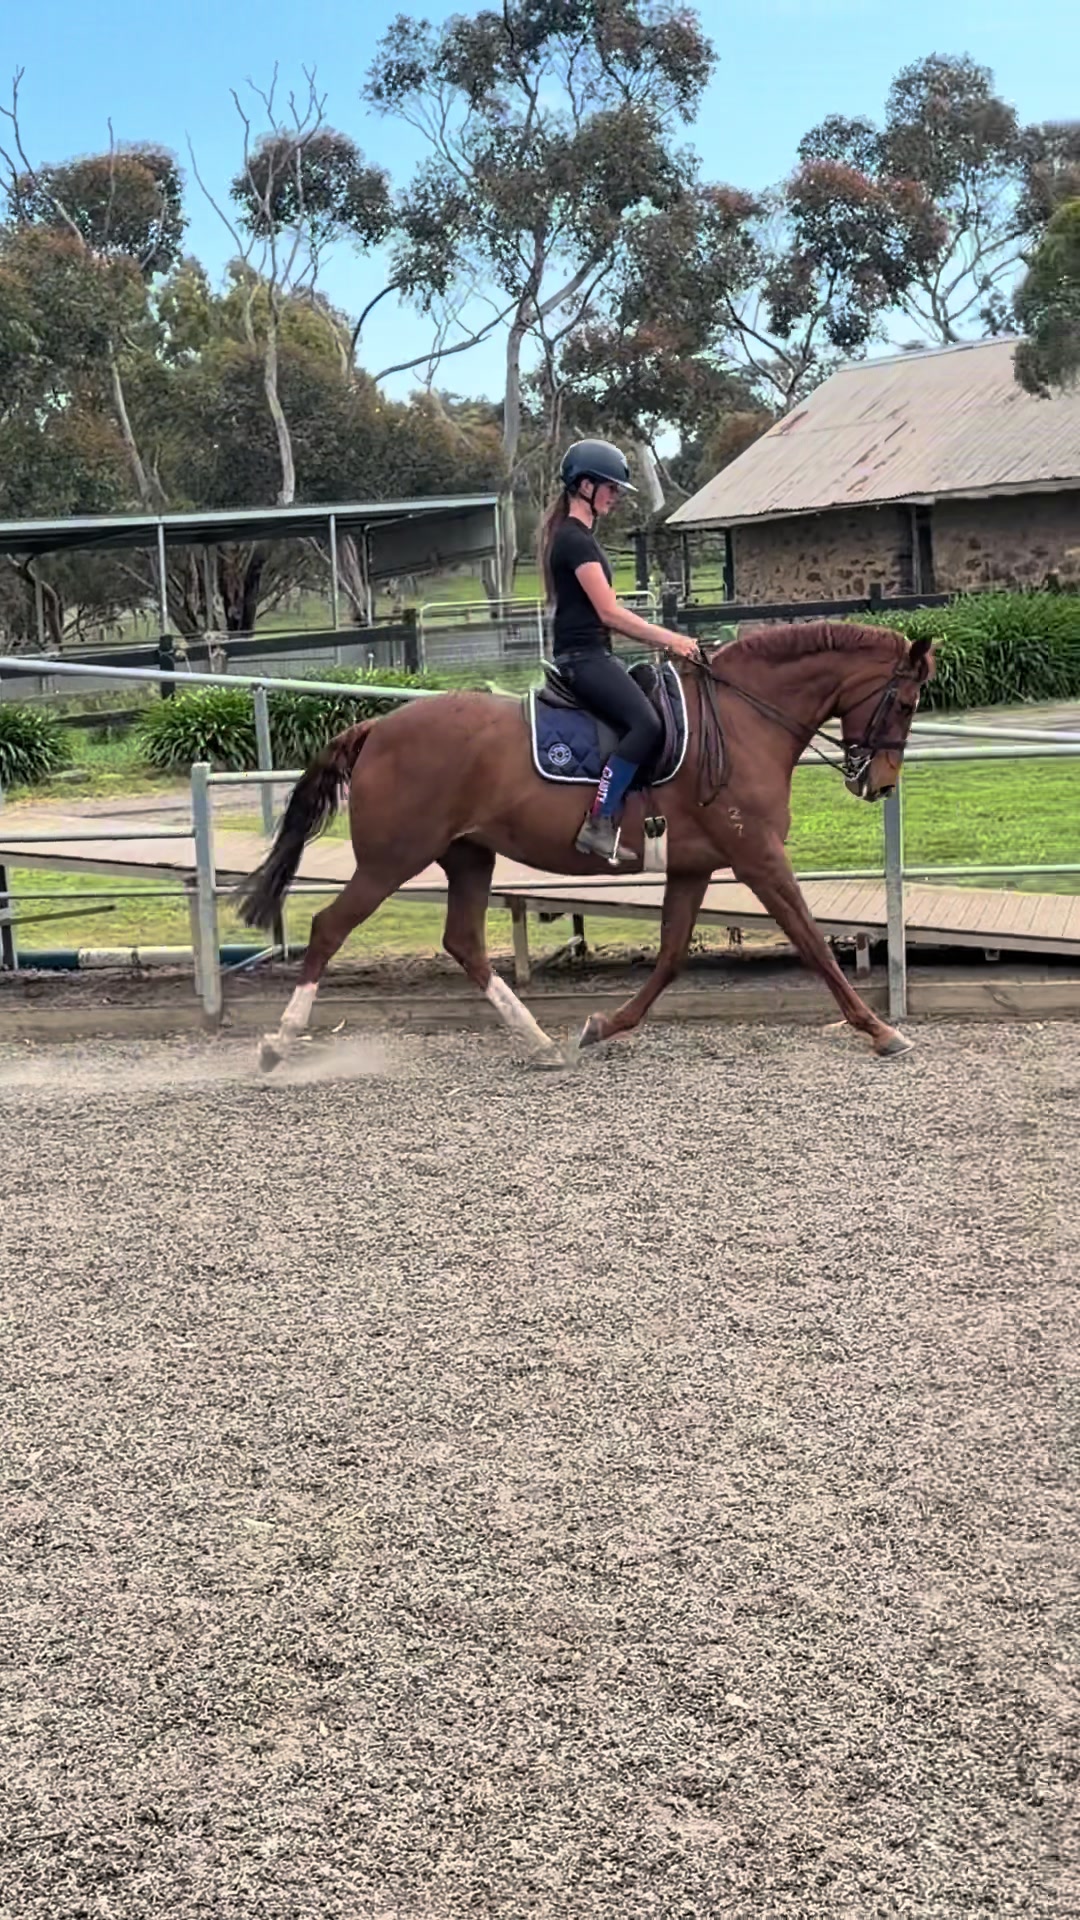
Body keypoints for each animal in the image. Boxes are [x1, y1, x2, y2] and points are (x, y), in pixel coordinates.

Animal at [236, 620, 934, 1070]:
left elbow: (671, 956)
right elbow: (814, 943)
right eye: (903, 702)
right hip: (391, 860)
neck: (742, 720)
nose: (879, 782)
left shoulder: (695, 866)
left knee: (464, 942)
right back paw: (277, 1044)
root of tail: (377, 727)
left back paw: (539, 1043)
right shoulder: (757, 857)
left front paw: (601, 1027)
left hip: (468, 855)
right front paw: (880, 1030)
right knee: (330, 928)